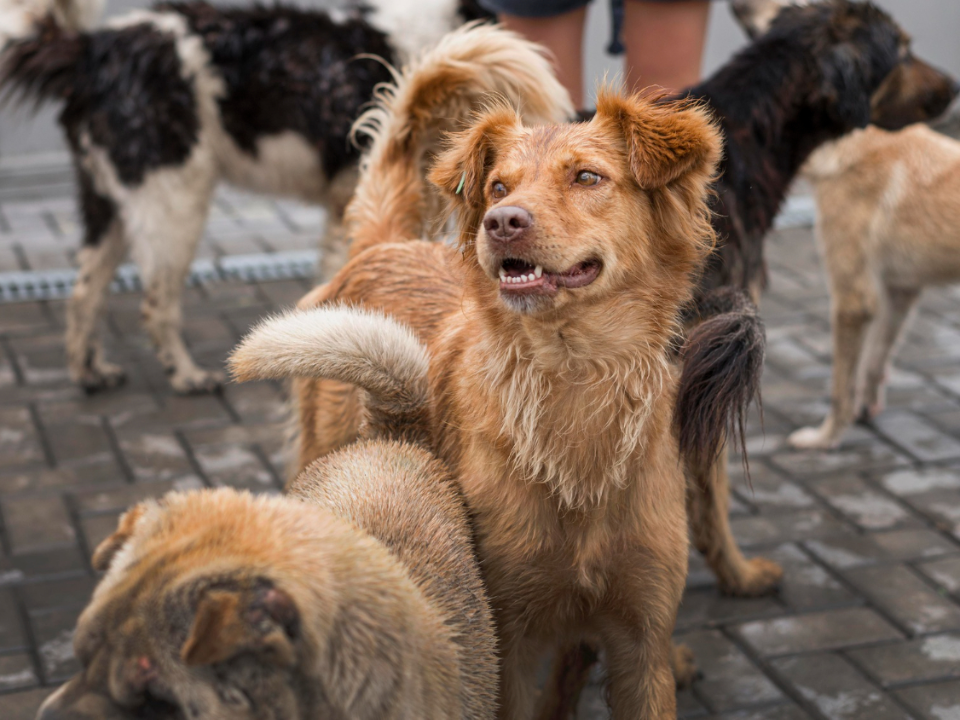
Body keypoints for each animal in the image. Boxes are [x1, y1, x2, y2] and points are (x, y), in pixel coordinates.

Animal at [1, 0, 488, 394]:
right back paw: (186, 376)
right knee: (155, 303)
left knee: (86, 291)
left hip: (109, 204)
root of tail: (92, 50)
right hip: (174, 202)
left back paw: (90, 372)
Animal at [236, 88, 724, 716]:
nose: (503, 221)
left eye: (588, 177)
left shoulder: (642, 641)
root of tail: (386, 244)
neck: (572, 379)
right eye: (497, 186)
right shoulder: (500, 641)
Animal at [788, 124, 960, 450]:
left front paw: (825, 439)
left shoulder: (852, 301)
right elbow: (874, 361)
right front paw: (865, 410)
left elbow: (840, 390)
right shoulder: (899, 291)